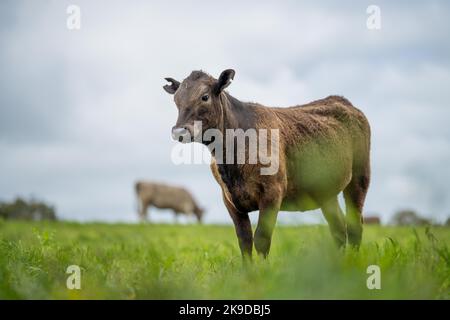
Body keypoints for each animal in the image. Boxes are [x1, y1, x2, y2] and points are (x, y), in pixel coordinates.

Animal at [163, 69, 370, 258]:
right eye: (176, 100)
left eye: (204, 97)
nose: (179, 131)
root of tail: (340, 100)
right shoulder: (228, 198)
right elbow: (244, 240)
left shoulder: (273, 192)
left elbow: (261, 238)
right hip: (325, 191)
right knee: (338, 228)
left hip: (360, 177)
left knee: (355, 225)